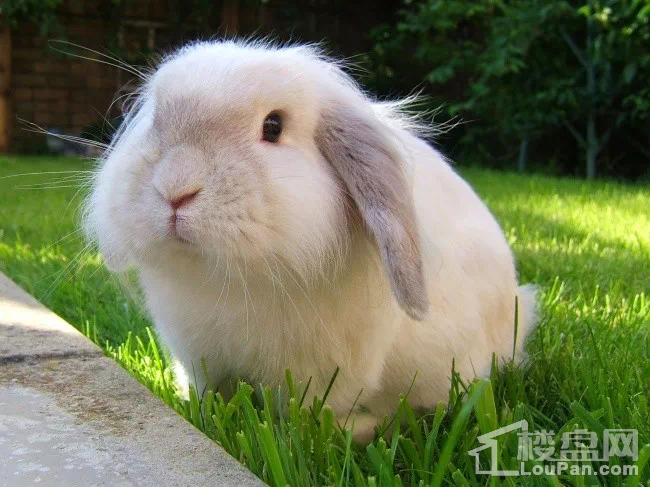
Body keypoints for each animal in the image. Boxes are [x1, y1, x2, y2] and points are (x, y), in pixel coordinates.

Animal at [83, 39, 536, 442]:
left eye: (273, 126)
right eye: (156, 120)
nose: (175, 190)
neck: (230, 279)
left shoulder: (327, 371)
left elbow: (312, 415)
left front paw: (330, 433)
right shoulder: (199, 355)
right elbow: (210, 394)